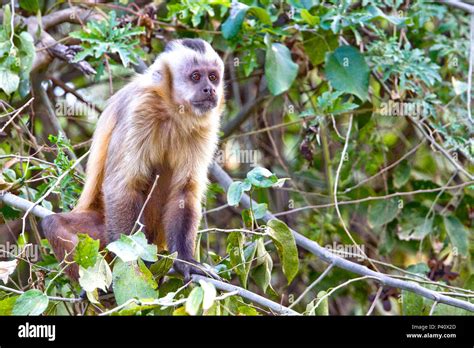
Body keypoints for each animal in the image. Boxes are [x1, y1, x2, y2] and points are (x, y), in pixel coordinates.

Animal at [41, 38, 225, 282]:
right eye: (196, 76)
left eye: (213, 77)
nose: (210, 89)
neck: (171, 110)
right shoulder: (140, 109)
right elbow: (122, 186)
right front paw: (134, 261)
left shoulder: (205, 126)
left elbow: (184, 191)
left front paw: (186, 261)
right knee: (54, 224)